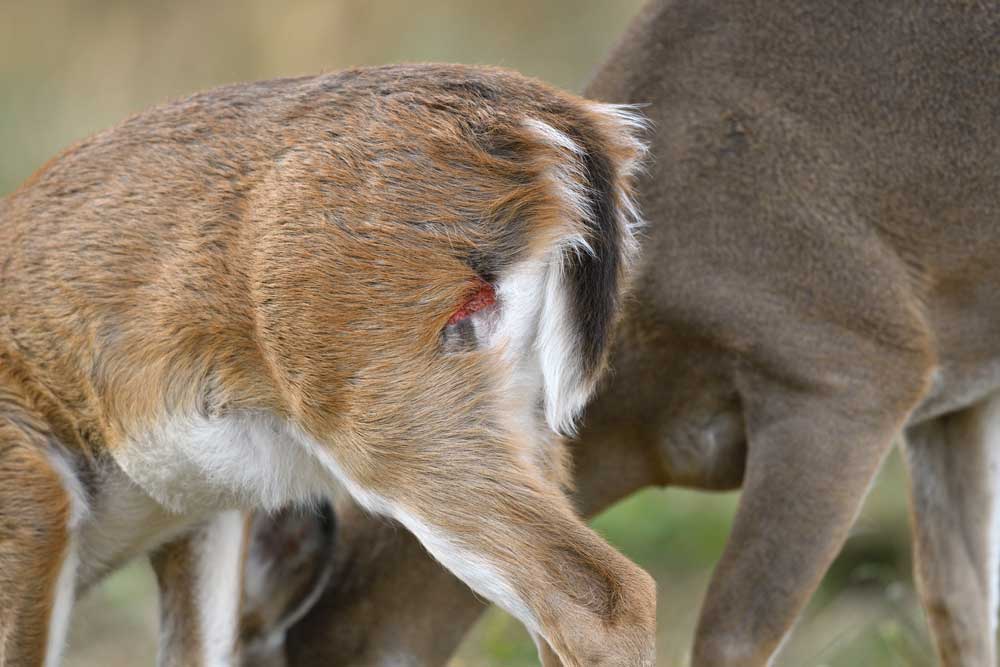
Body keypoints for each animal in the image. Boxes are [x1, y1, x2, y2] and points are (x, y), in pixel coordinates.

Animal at [0, 64, 648, 667]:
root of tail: (545, 120)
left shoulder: (28, 476)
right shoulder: (203, 514)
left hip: (381, 403)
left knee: (609, 596)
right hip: (520, 413)